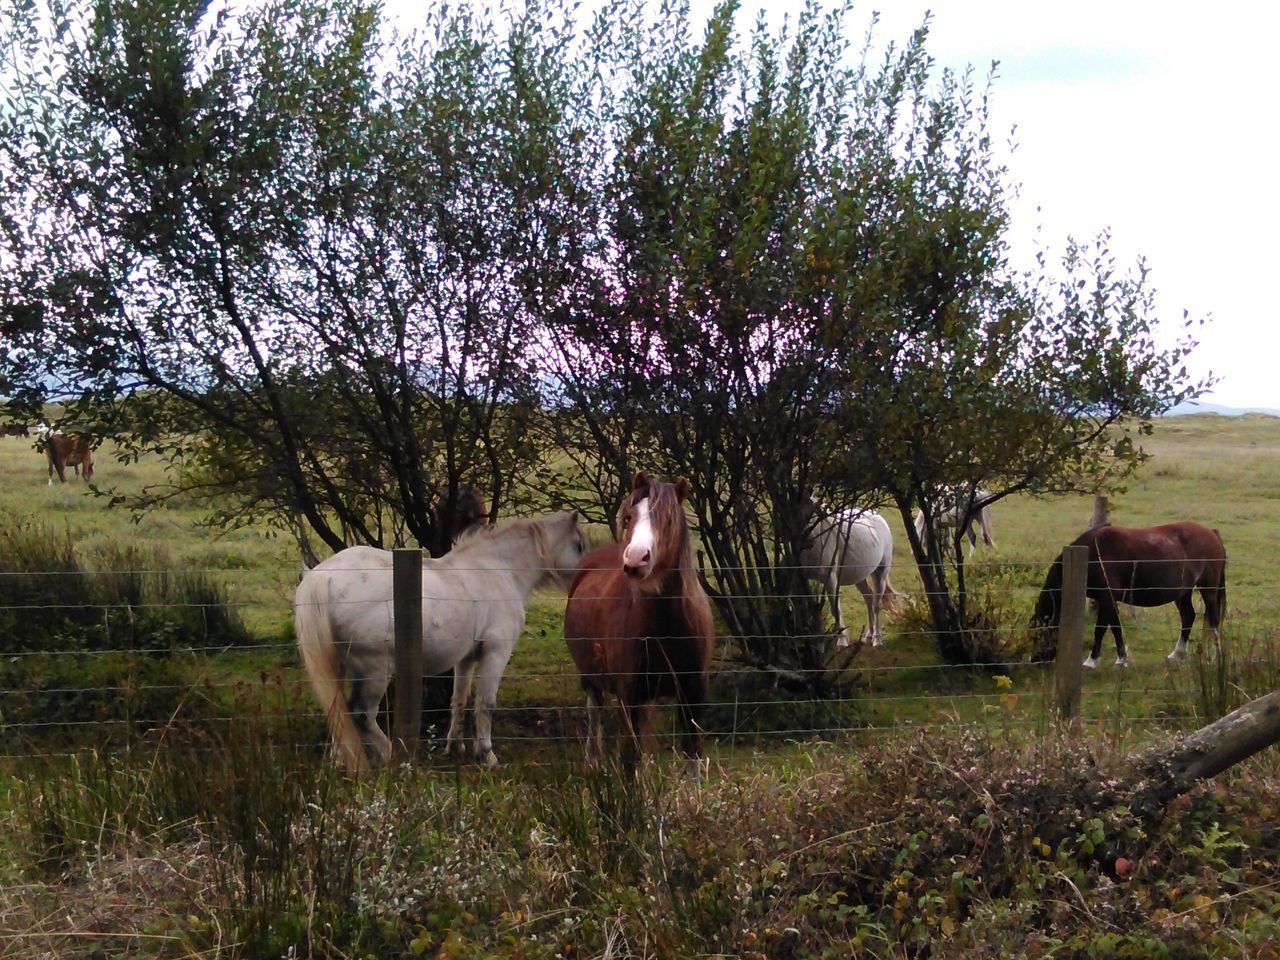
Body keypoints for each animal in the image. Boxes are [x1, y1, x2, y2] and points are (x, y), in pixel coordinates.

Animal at [563, 476, 716, 773]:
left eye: (668, 519)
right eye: (629, 517)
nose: (635, 558)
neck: (668, 630)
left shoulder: (693, 694)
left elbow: (693, 756)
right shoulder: (629, 696)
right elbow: (630, 761)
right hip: (591, 677)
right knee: (594, 710)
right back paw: (592, 762)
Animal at [798, 506, 901, 650]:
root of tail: (878, 517)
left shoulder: (830, 579)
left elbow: (836, 610)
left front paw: (842, 642)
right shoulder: (801, 578)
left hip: (880, 573)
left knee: (876, 604)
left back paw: (877, 640)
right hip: (859, 576)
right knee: (869, 597)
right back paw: (868, 636)